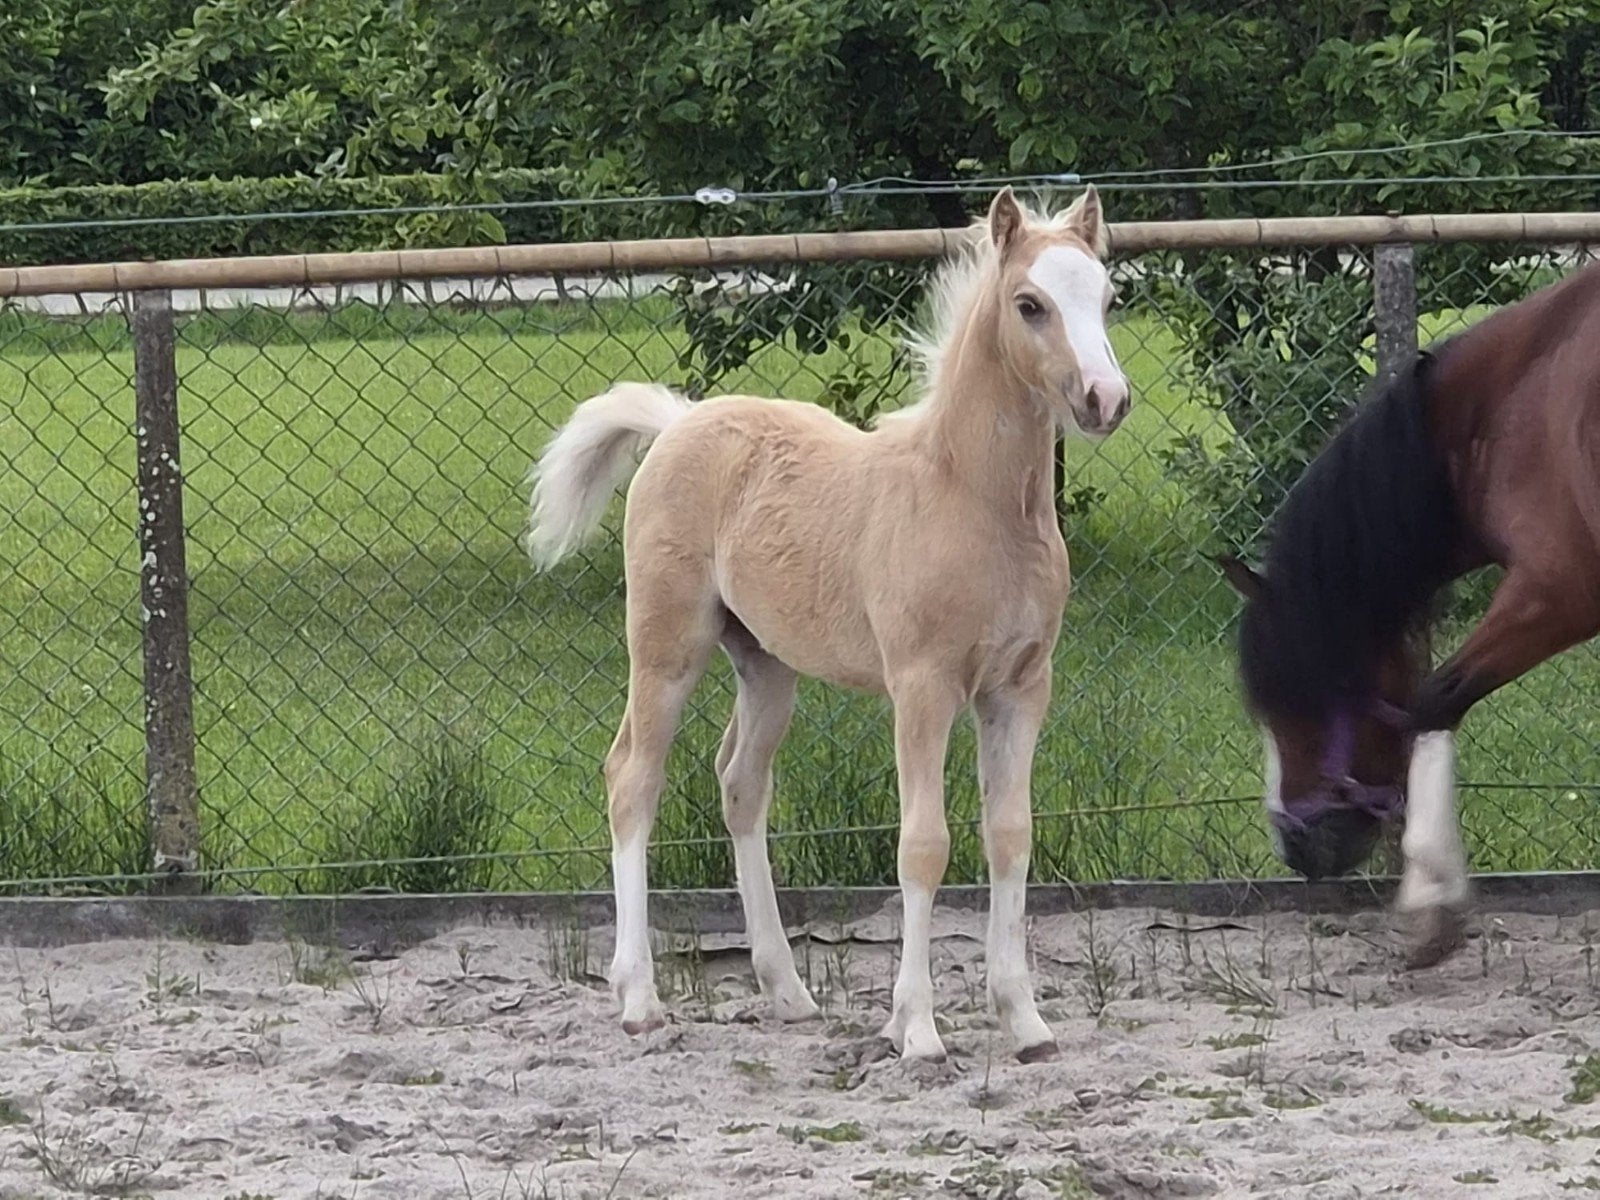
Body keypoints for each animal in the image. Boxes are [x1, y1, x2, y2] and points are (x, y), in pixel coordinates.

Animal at [523, 186, 1129, 1061]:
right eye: (1030, 304)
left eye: (1108, 298)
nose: (1106, 400)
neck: (974, 501)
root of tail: (675, 422)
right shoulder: (923, 687)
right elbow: (923, 845)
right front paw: (917, 1029)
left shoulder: (1020, 688)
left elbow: (1010, 834)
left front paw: (1025, 1022)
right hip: (668, 644)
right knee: (633, 777)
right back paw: (638, 998)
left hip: (766, 663)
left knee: (740, 784)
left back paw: (787, 991)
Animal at [1217, 256, 1600, 968]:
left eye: (1290, 698)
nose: (1294, 845)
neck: (1516, 401)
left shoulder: (1558, 588)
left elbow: (1434, 697)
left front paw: (1429, 900)